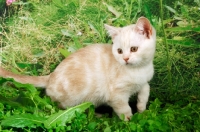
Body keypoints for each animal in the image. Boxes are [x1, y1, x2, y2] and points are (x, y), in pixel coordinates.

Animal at [0, 16, 155, 120]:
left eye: (134, 49)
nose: (125, 59)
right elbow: (124, 109)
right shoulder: (116, 95)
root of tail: (51, 76)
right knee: (69, 108)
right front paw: (130, 120)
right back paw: (96, 115)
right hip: (75, 100)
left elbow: (145, 91)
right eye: (119, 51)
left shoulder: (145, 81)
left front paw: (142, 109)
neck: (138, 70)